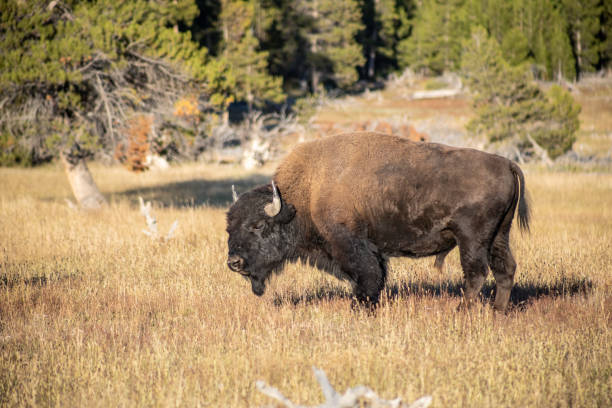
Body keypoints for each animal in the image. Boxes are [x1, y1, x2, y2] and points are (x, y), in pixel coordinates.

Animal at [227, 132, 528, 310]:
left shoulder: (351, 244)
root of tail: (506, 163)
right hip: (499, 235)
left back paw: (461, 310)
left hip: (472, 239)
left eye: (258, 225)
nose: (234, 262)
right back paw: (498, 310)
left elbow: (368, 276)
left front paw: (360, 307)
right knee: (505, 269)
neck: (305, 194)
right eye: (229, 227)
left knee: (477, 273)